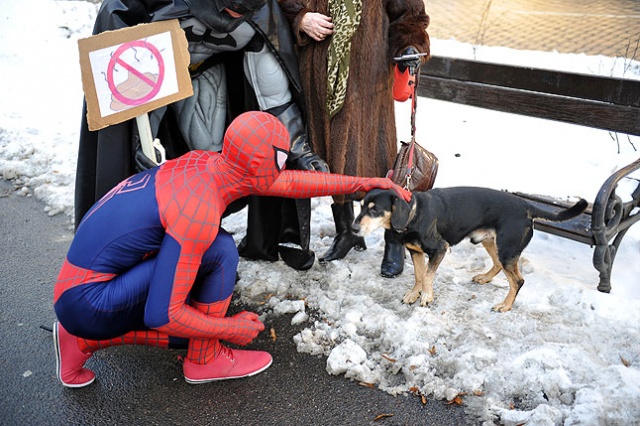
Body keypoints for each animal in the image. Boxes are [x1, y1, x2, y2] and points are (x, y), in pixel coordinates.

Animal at [352, 188, 588, 312]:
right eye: (361, 206)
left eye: (375, 210)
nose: (353, 228)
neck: (414, 213)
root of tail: (528, 207)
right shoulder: (415, 251)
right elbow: (419, 275)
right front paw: (414, 293)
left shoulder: (440, 249)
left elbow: (427, 275)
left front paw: (427, 296)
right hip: (491, 242)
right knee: (497, 265)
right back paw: (485, 278)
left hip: (506, 248)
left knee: (518, 281)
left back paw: (505, 306)